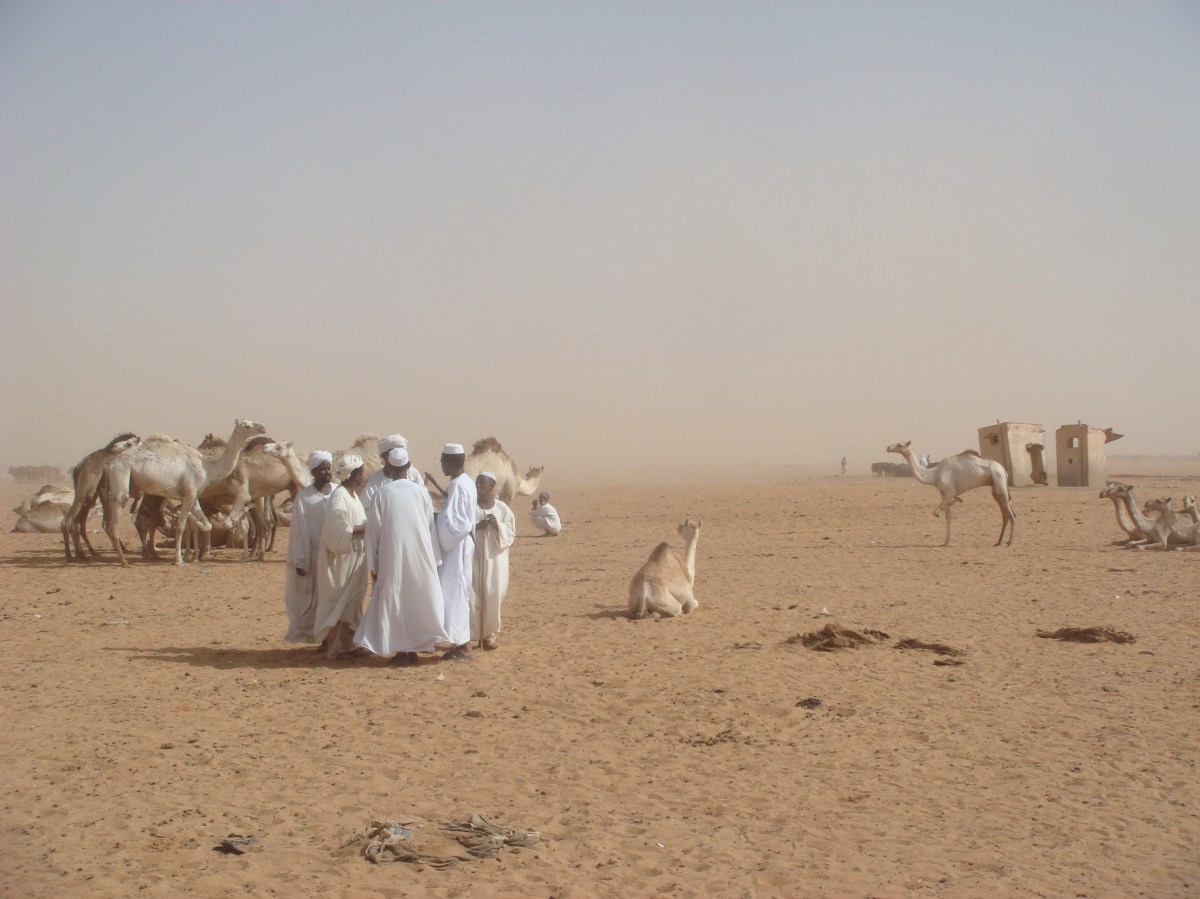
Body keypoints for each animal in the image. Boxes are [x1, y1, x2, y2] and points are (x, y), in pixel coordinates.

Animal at [60, 434, 142, 562]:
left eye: (129, 443)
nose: (114, 447)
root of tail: (78, 467)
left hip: (90, 497)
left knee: (79, 523)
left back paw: (85, 554)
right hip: (85, 492)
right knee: (69, 521)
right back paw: (71, 556)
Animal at [101, 419, 267, 565]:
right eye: (246, 425)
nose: (263, 427)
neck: (208, 467)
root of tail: (112, 463)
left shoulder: (193, 496)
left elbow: (206, 524)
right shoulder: (190, 494)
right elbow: (181, 526)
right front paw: (179, 559)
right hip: (121, 476)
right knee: (116, 522)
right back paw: (125, 561)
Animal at [886, 441, 1015, 546]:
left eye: (900, 445)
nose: (888, 448)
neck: (934, 475)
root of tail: (1003, 470)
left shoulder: (949, 492)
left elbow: (937, 513)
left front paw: (956, 501)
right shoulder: (943, 494)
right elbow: (949, 517)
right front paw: (946, 542)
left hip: (999, 481)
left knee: (1011, 513)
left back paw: (1009, 542)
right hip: (995, 488)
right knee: (1005, 513)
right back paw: (999, 541)